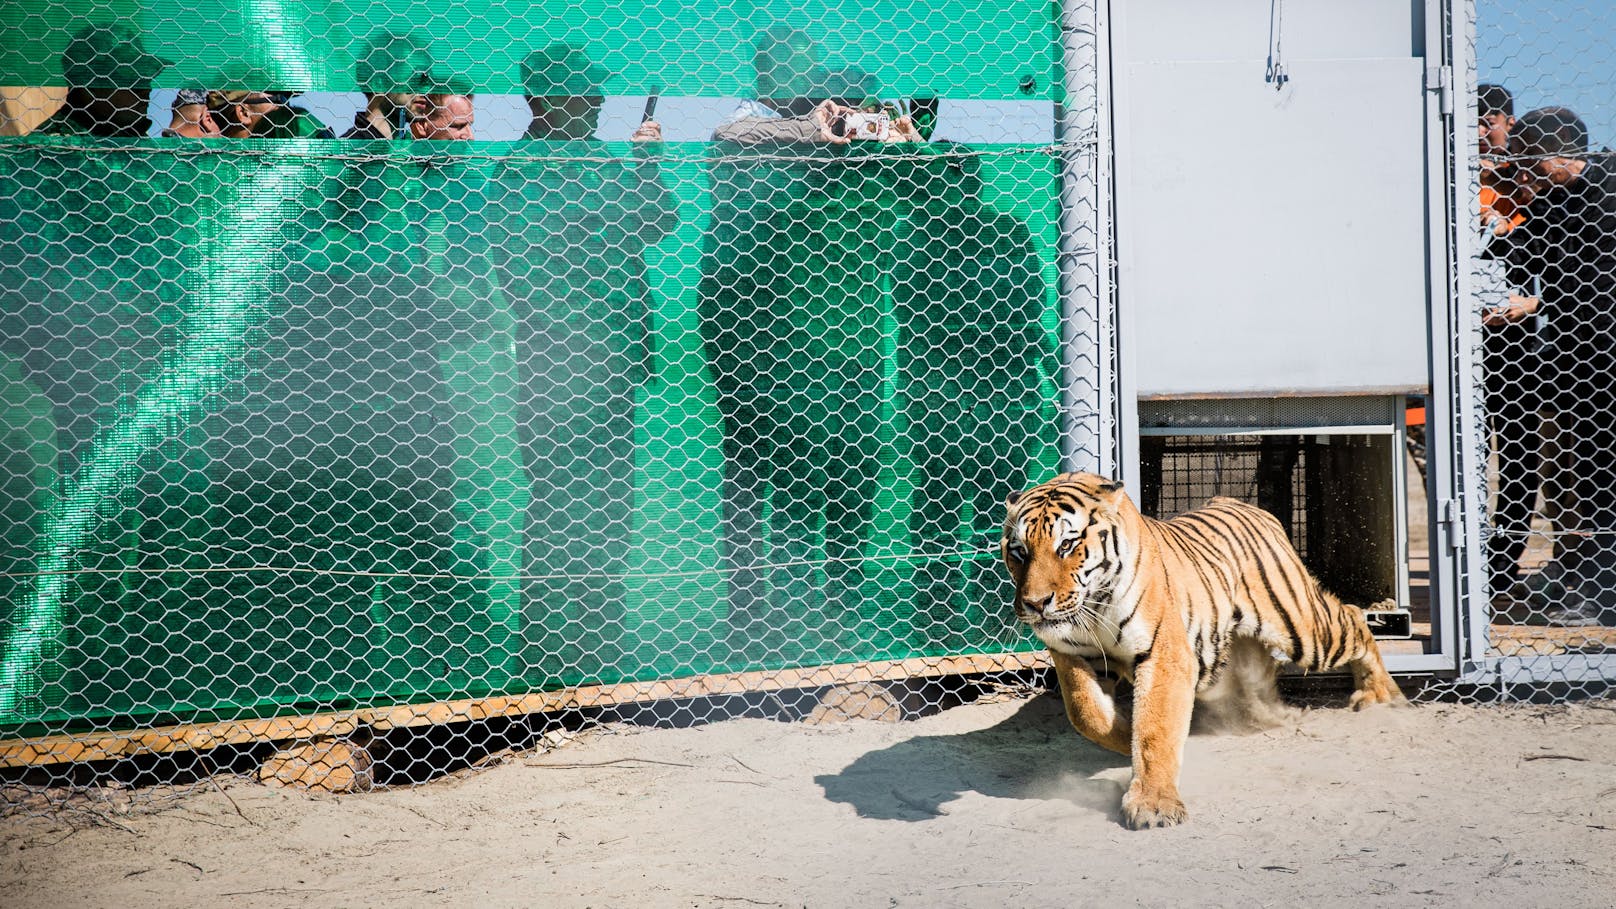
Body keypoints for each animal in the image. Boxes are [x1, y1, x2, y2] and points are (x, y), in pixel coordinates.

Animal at [995, 469, 1402, 824]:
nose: (1035, 603)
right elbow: (1087, 714)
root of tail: (1237, 502)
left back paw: (1382, 696)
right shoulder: (1071, 654)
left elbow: (1155, 728)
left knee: (1353, 617)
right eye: (1019, 551)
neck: (1093, 607)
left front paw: (1153, 804)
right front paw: (1124, 735)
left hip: (1302, 628)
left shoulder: (1164, 654)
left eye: (1067, 544)